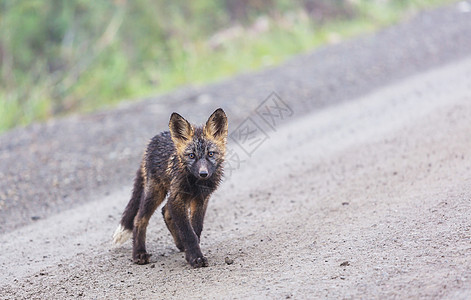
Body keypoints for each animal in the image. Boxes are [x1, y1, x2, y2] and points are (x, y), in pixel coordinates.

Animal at [111, 109, 228, 268]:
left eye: (211, 154)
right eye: (191, 155)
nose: (203, 174)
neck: (196, 184)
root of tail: (153, 140)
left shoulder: (201, 199)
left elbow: (195, 229)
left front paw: (190, 253)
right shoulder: (178, 198)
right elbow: (188, 233)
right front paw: (195, 257)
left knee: (165, 211)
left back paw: (179, 245)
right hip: (155, 193)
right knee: (139, 219)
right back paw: (139, 253)